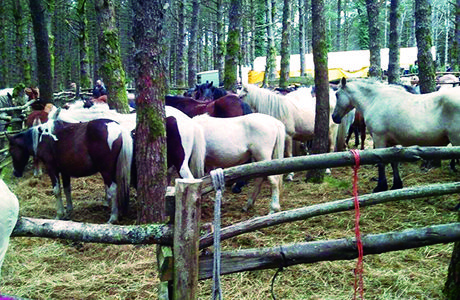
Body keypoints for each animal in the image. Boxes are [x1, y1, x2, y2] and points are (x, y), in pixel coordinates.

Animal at [332, 76, 460, 191]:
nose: (334, 117)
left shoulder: (379, 139)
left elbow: (381, 163)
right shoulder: (392, 142)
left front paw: (381, 187)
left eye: (337, 94)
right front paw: (396, 185)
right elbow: (394, 161)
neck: (375, 99)